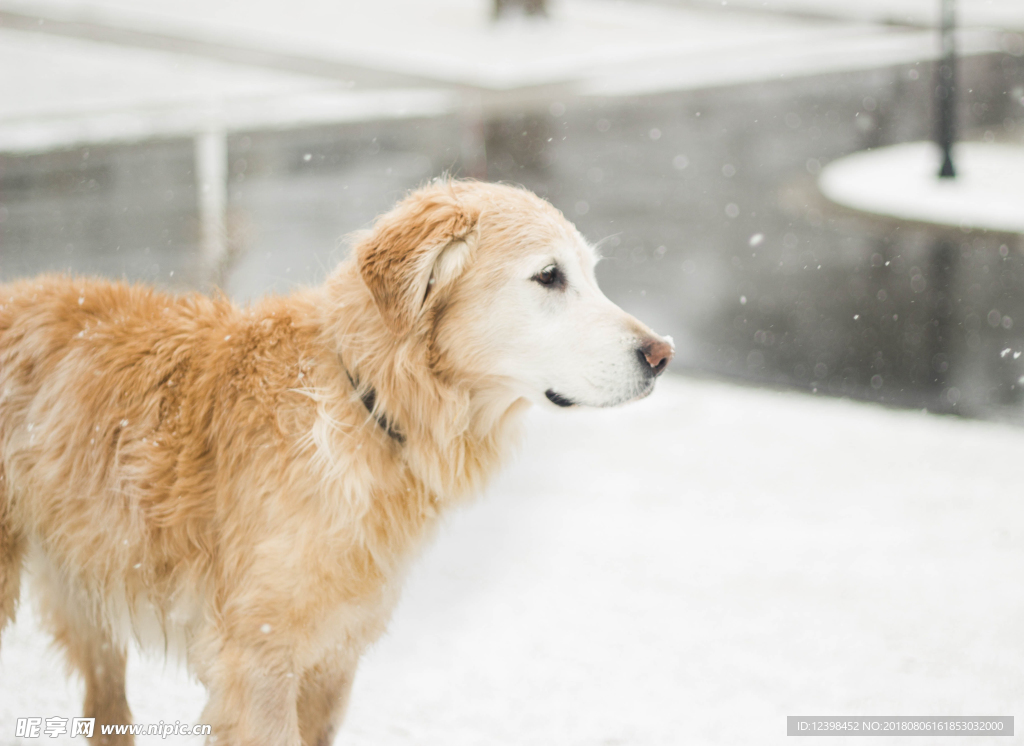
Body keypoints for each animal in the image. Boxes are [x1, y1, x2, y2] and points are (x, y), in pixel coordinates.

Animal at [0, 180, 671, 744]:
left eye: (589, 274)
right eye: (549, 276)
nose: (662, 354)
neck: (364, 400)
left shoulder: (333, 660)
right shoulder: (258, 663)